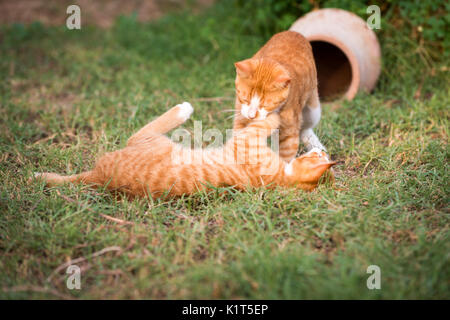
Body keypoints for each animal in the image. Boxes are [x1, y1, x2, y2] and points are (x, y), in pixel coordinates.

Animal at [34, 102, 334, 198]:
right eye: (322, 156)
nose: (322, 153)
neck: (283, 178)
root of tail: (98, 177)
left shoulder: (246, 141)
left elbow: (264, 122)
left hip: (152, 141)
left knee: (140, 131)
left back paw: (183, 109)